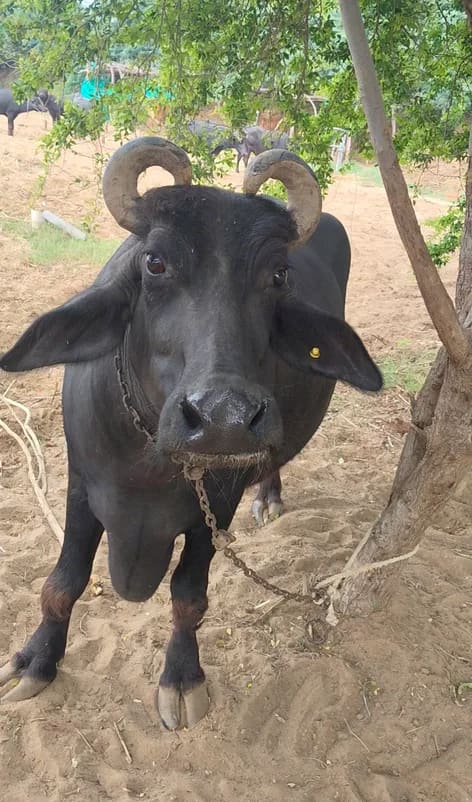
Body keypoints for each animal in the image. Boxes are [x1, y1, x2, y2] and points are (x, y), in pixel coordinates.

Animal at [0, 137, 382, 729]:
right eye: (155, 262)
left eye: (278, 275)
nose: (224, 417)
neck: (148, 463)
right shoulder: (80, 486)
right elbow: (63, 582)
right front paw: (36, 660)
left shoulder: (215, 507)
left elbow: (188, 595)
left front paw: (182, 676)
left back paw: (269, 497)